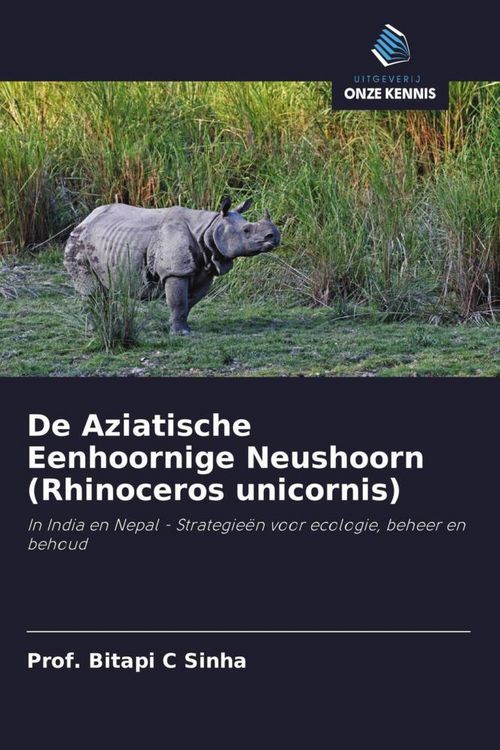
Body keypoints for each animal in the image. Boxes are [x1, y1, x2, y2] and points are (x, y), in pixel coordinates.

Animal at [64, 197, 280, 334]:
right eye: (246, 230)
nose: (274, 236)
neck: (209, 228)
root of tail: (84, 220)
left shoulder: (205, 270)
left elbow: (189, 301)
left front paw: (175, 326)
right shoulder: (176, 271)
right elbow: (179, 301)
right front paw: (181, 333)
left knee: (103, 290)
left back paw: (108, 325)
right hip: (77, 242)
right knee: (91, 291)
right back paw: (96, 329)